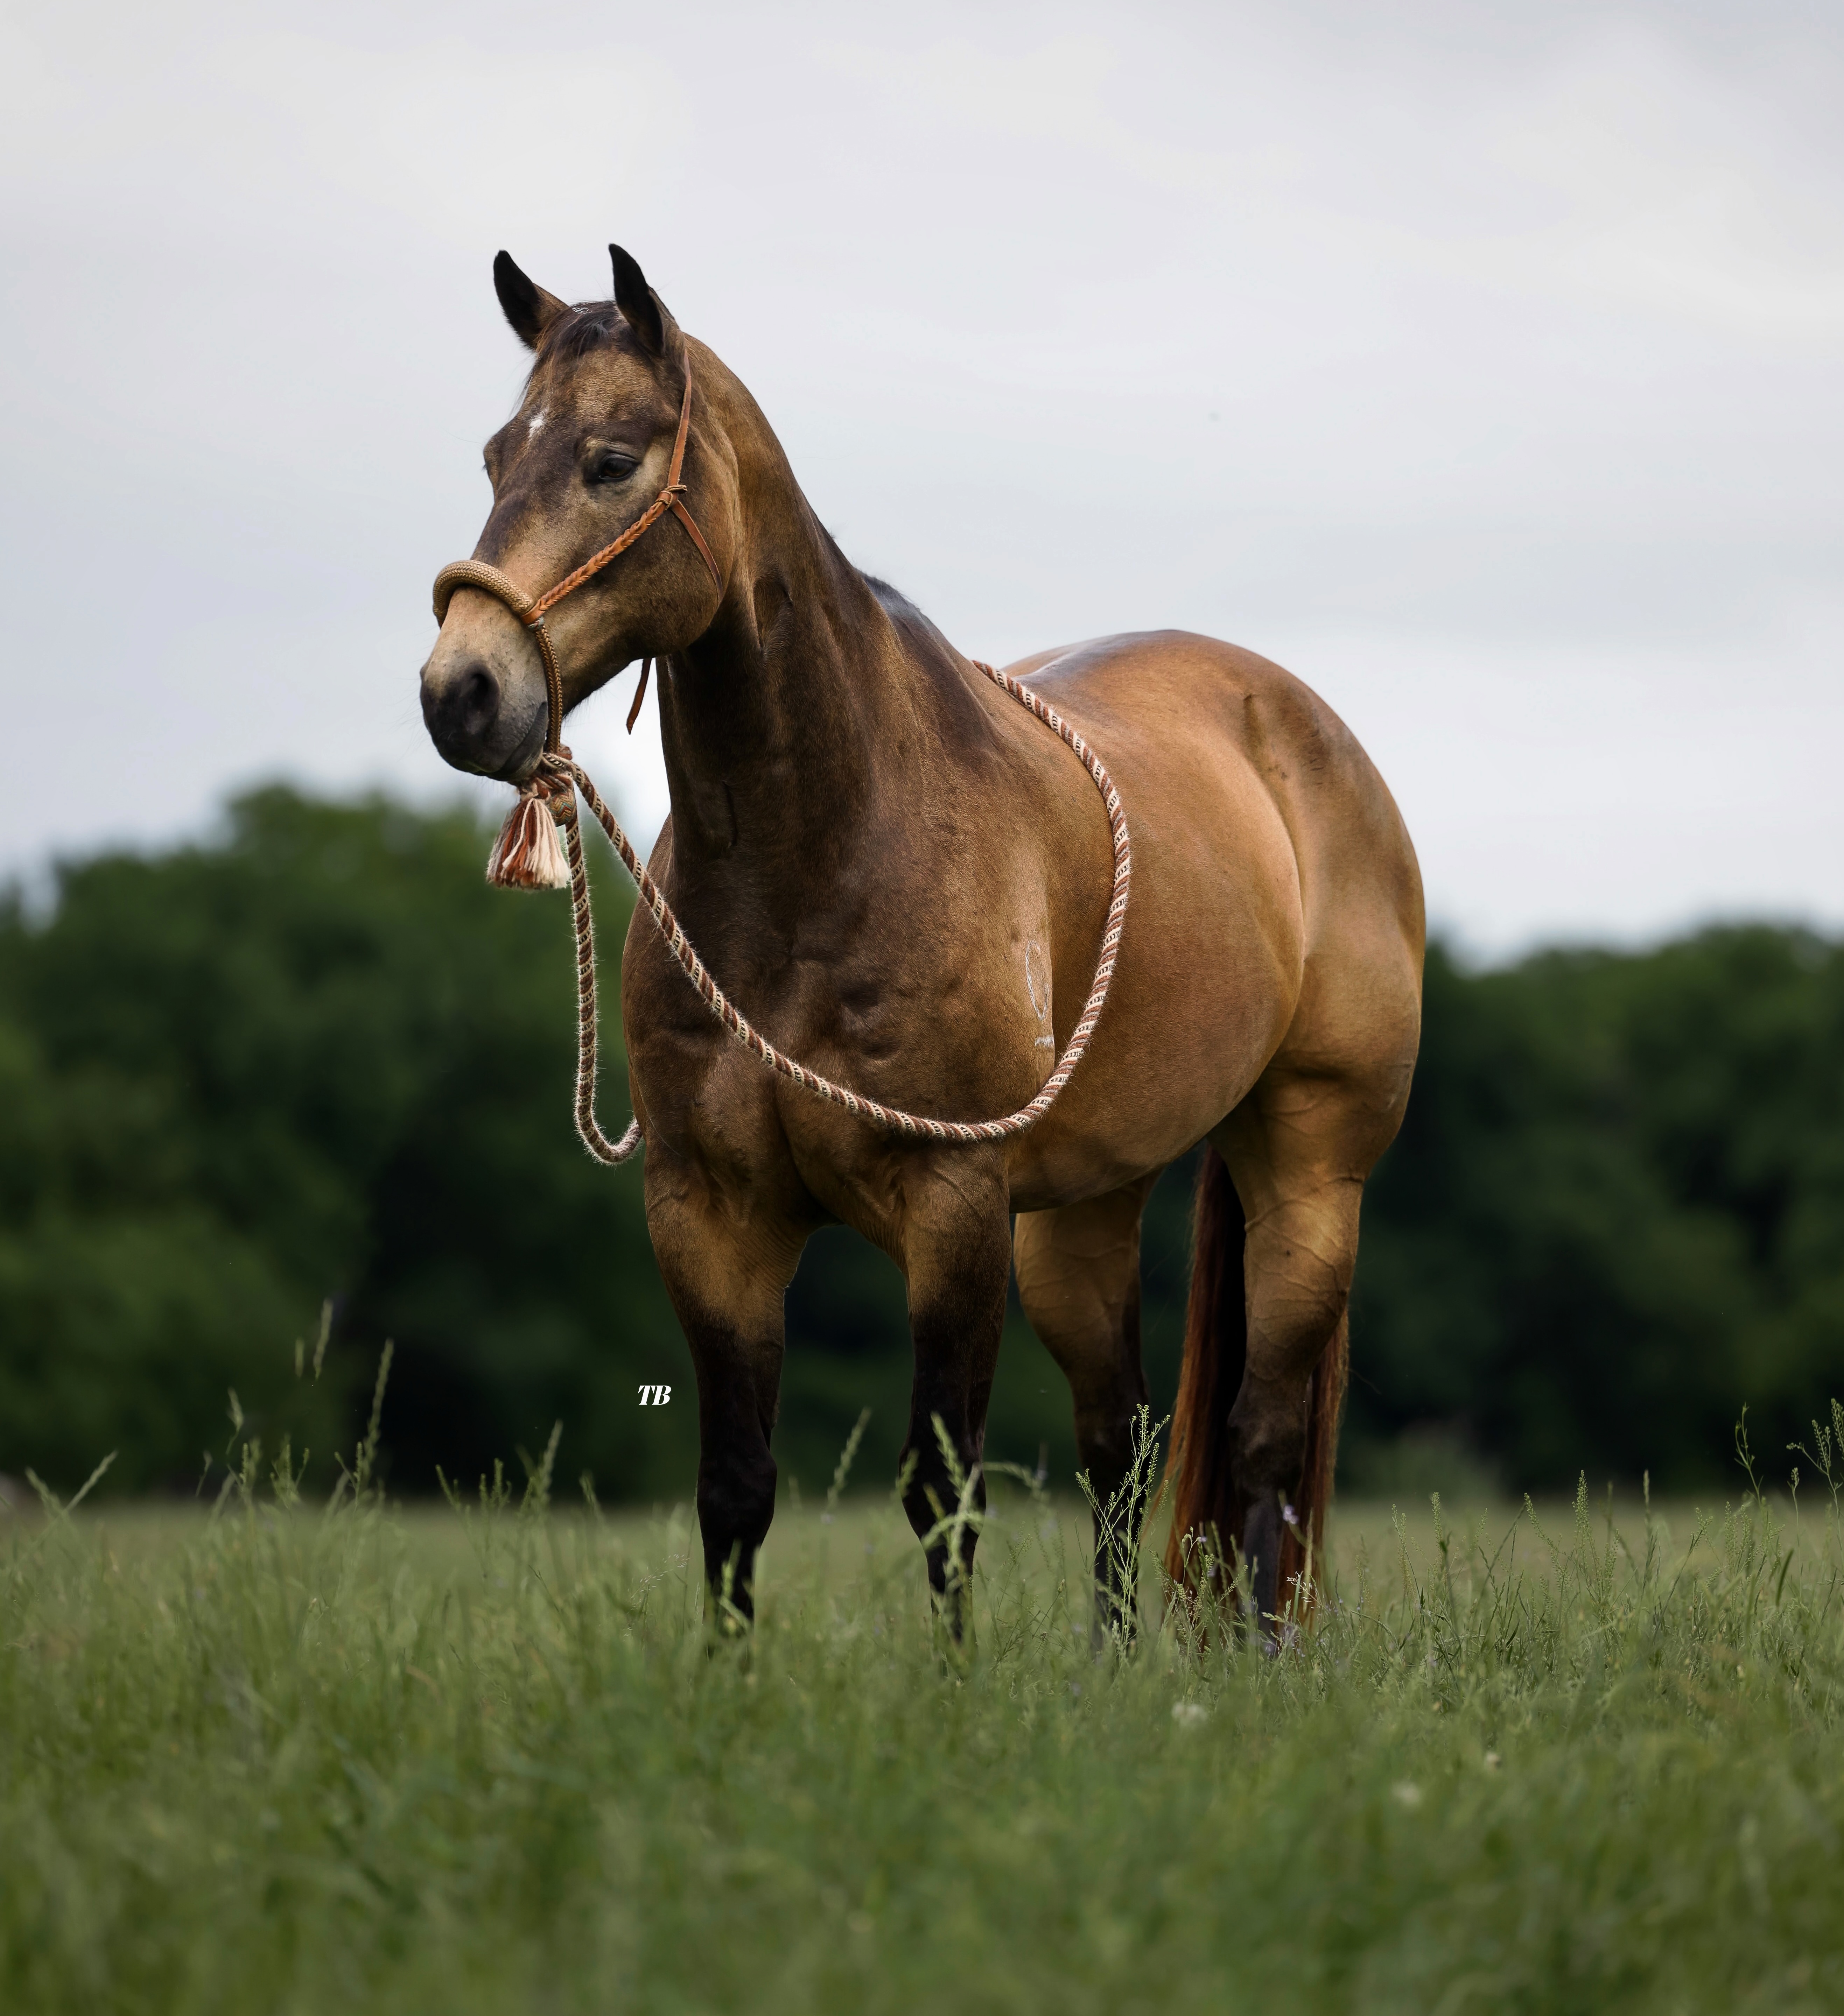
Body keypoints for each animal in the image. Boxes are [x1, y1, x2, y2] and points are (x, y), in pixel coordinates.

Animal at [419, 244, 1425, 1639]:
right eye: (494, 455)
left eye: (612, 460)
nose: (462, 693)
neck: (824, 851)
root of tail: (1307, 733)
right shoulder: (710, 1213)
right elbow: (735, 1488)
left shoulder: (951, 1211)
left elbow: (942, 1490)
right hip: (1082, 1216)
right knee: (1122, 1444)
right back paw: (1115, 1665)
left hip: (1309, 1172)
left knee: (1265, 1441)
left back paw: (1258, 1659)